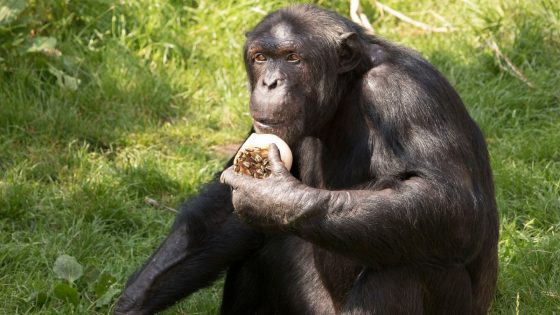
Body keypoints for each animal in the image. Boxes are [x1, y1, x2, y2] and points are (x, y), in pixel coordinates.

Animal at [114, 4, 498, 315]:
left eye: (292, 58)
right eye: (261, 58)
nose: (270, 82)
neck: (344, 93)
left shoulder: (405, 92)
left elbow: (449, 201)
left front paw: (272, 197)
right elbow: (222, 213)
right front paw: (132, 302)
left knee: (407, 264)